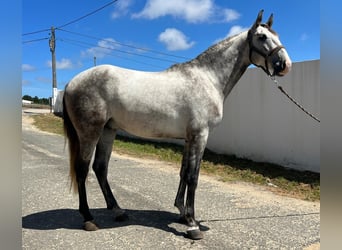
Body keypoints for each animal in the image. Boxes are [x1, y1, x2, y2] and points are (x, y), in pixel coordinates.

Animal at [63, 10, 292, 240]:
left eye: (277, 35)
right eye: (262, 36)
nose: (285, 65)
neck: (207, 79)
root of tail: (72, 82)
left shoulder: (189, 138)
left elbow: (184, 172)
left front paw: (182, 212)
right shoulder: (200, 135)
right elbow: (193, 176)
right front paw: (192, 224)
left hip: (108, 131)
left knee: (100, 167)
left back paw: (118, 211)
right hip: (90, 132)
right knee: (82, 169)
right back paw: (89, 218)